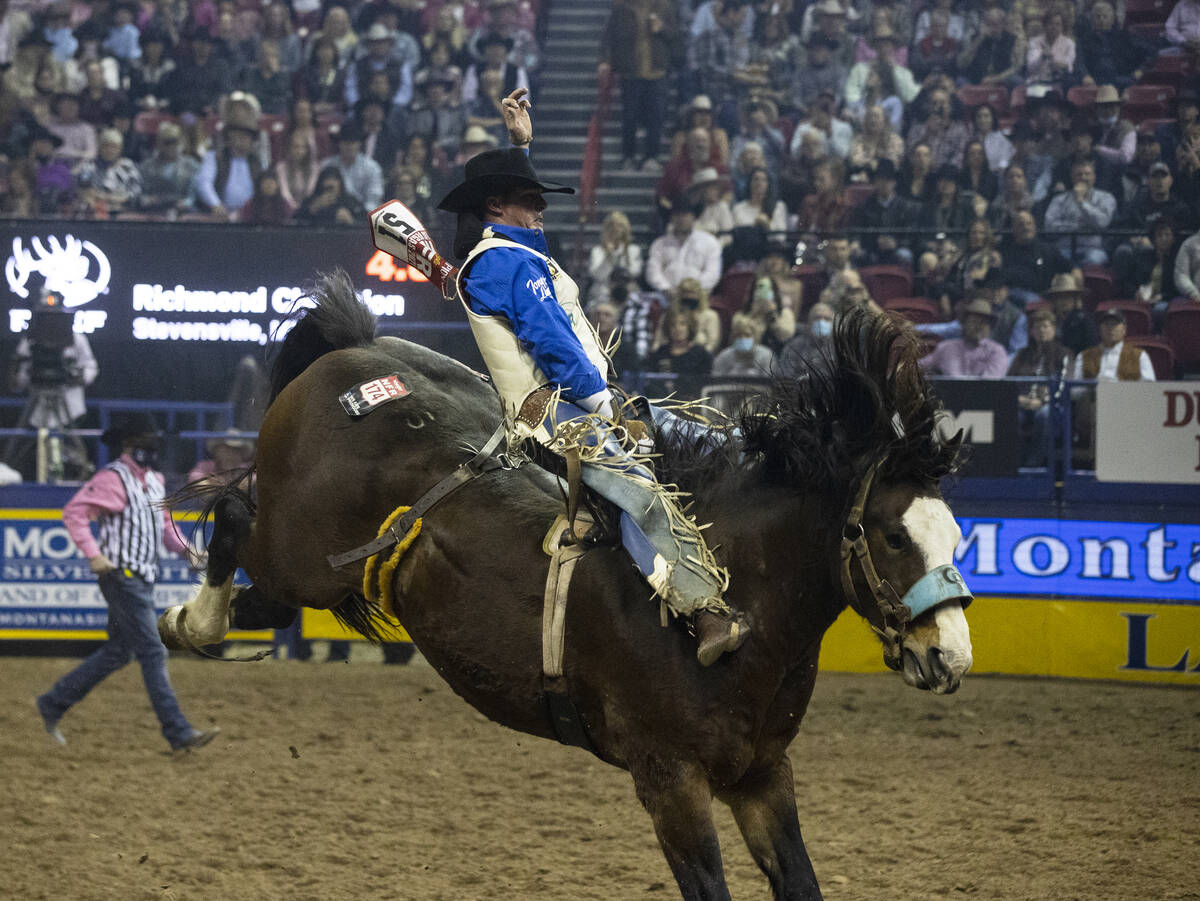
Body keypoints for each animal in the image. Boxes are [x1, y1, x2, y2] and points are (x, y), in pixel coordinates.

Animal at [159, 274, 969, 901]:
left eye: (957, 534)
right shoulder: (669, 777)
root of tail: (356, 347)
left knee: (261, 595)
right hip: (299, 548)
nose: (952, 656)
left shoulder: (763, 774)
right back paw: (186, 622)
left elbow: (801, 882)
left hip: (325, 574)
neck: (736, 608)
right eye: (893, 536)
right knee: (234, 519)